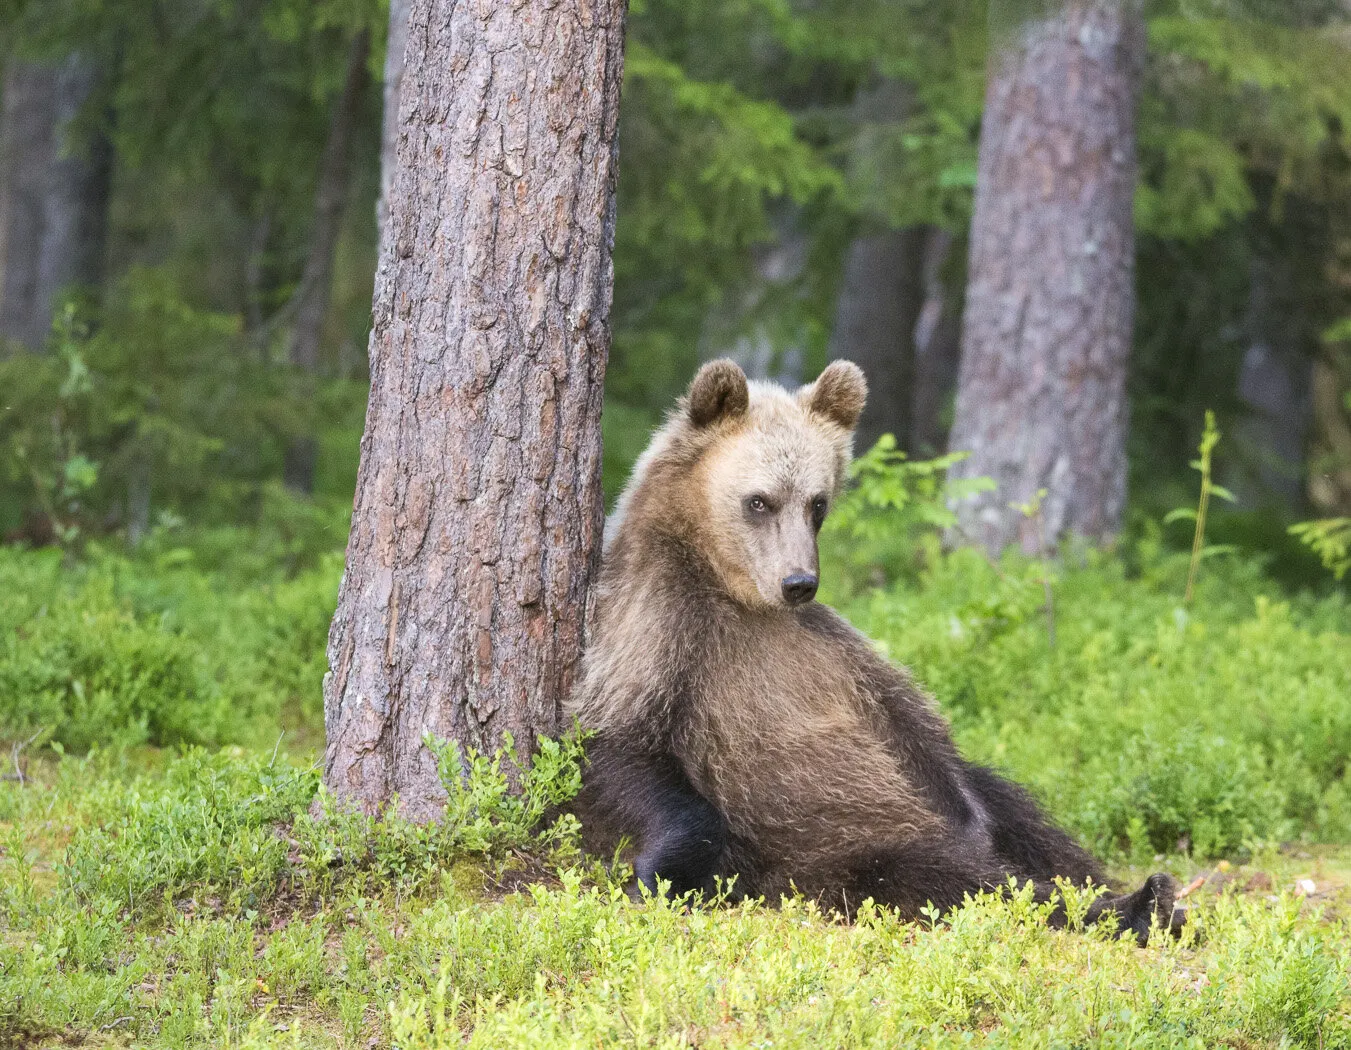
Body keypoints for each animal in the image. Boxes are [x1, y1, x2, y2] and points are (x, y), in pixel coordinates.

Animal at [566, 358, 1180, 945]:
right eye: (759, 501)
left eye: (817, 502)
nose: (799, 582)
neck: (732, 587)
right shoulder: (659, 625)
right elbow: (620, 741)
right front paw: (657, 873)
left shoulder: (833, 649)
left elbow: (912, 723)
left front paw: (974, 818)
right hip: (830, 845)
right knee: (949, 877)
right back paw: (1132, 905)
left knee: (1015, 811)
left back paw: (1139, 894)